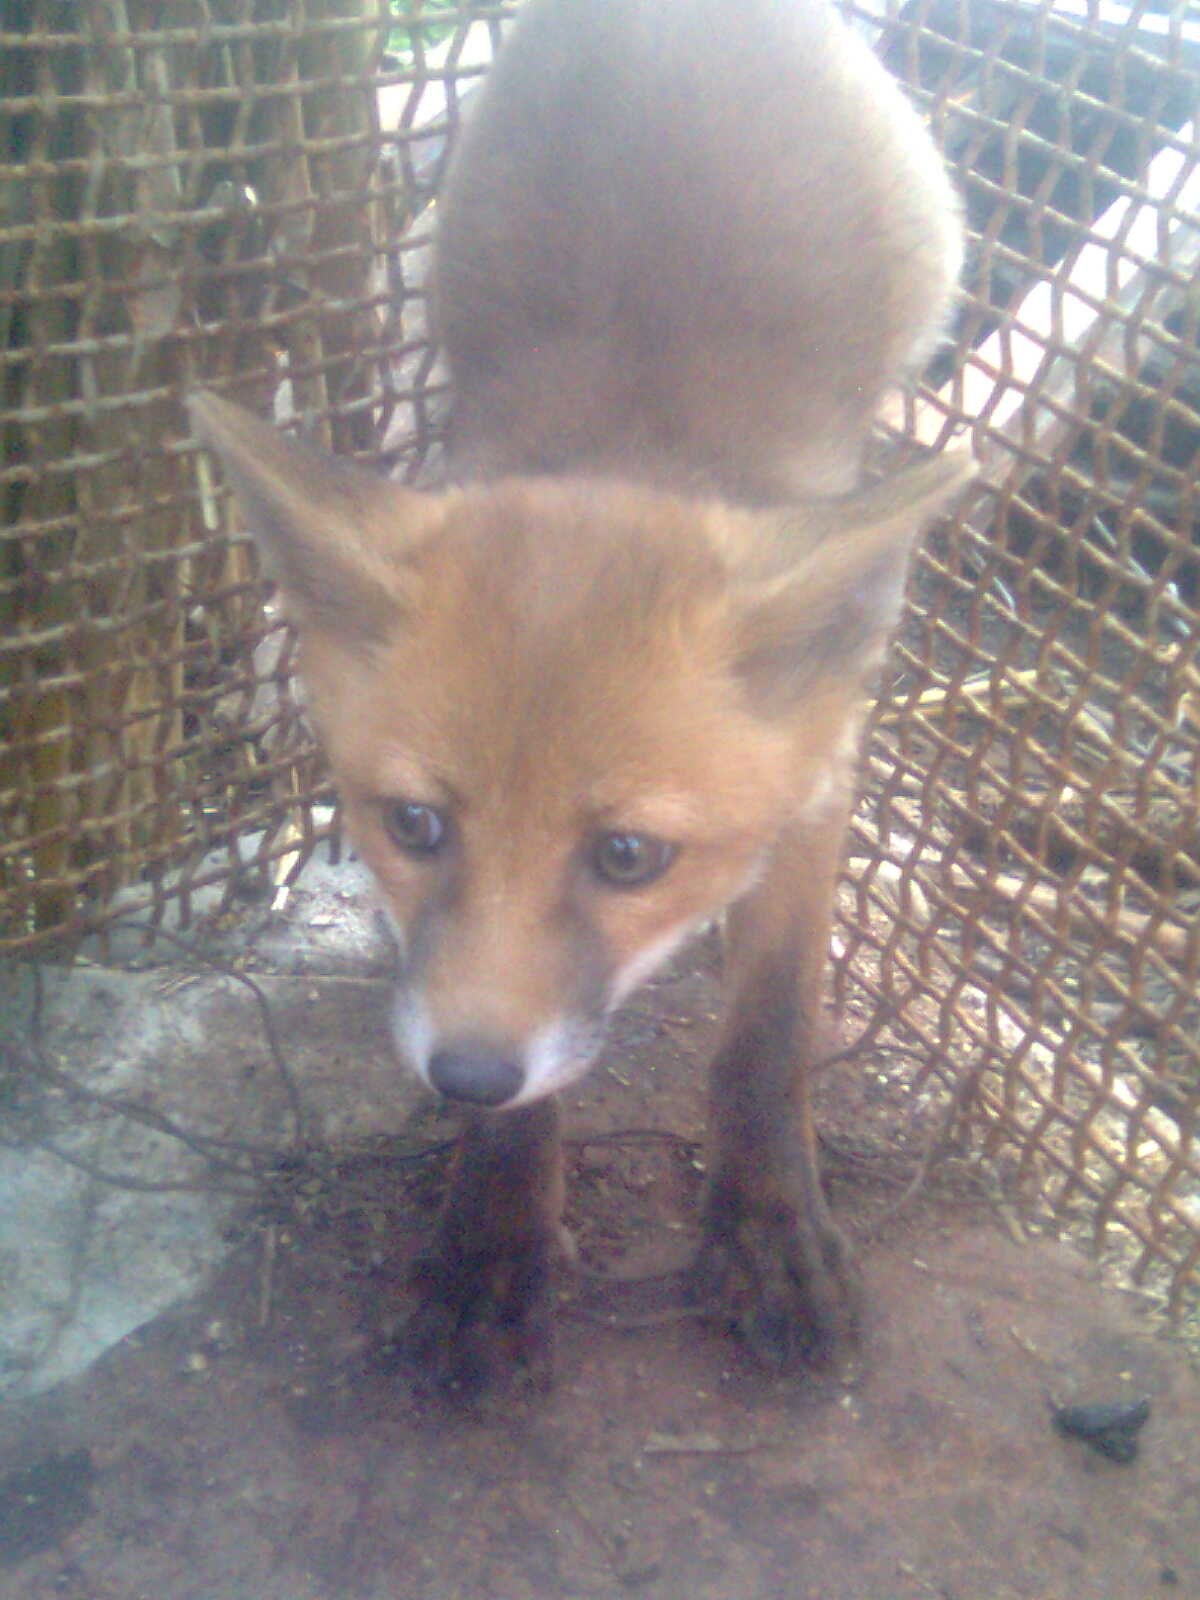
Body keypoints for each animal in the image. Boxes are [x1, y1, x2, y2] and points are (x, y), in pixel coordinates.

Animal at [189, 0, 970, 1390]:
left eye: (628, 854)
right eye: (414, 825)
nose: (463, 1076)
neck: (630, 443)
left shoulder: (822, 784)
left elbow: (768, 1039)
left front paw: (769, 1227)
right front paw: (498, 1231)